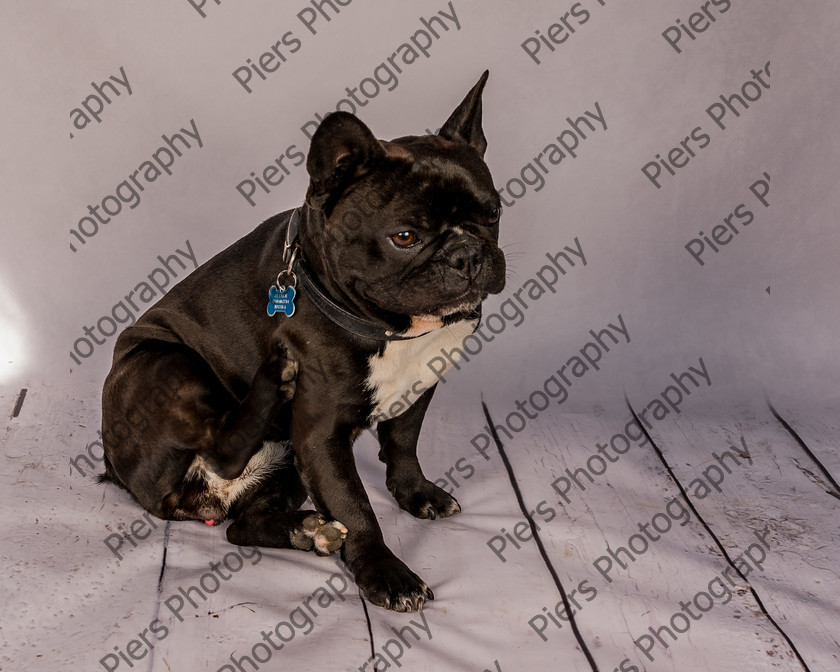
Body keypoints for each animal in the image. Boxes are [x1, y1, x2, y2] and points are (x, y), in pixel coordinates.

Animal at [98, 71, 506, 612]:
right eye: (405, 236)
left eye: (494, 213)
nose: (467, 254)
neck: (391, 328)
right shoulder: (319, 436)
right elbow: (355, 507)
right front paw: (386, 573)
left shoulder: (418, 388)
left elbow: (403, 444)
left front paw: (417, 493)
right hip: (164, 364)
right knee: (221, 446)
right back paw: (274, 379)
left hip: (283, 465)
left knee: (239, 527)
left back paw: (307, 531)